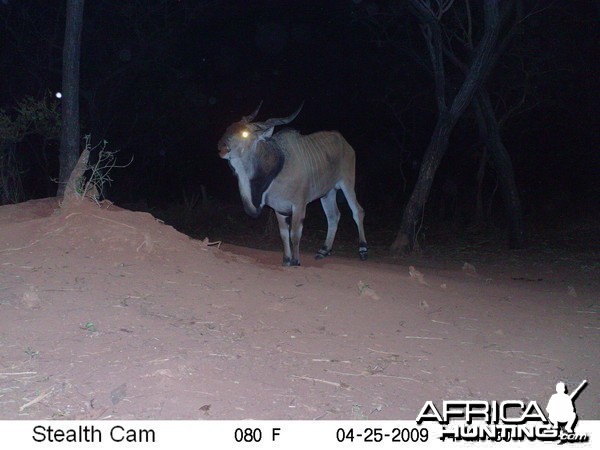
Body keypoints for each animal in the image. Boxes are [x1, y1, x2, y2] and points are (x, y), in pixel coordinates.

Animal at [218, 103, 368, 266]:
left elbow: (295, 234)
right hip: (328, 193)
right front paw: (286, 260)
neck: (279, 166)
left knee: (358, 211)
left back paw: (363, 250)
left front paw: (296, 261)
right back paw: (323, 250)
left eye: (245, 134)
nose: (221, 149)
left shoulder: (299, 206)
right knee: (333, 216)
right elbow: (284, 234)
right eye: (229, 128)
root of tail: (345, 143)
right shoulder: (279, 209)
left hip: (347, 183)